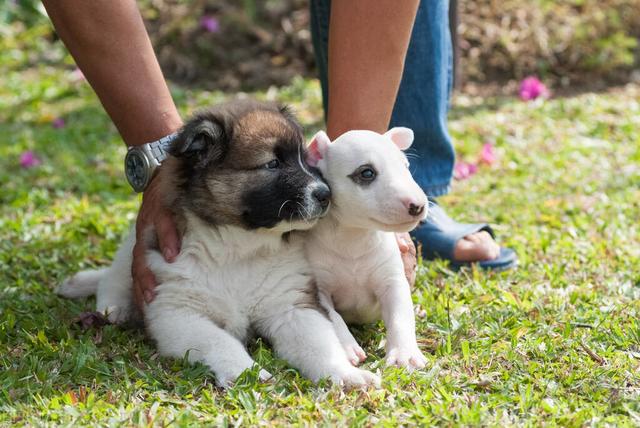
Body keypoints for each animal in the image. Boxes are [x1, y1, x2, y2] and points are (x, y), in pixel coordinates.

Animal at [306, 129, 428, 370]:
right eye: (367, 173)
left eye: (406, 167)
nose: (418, 206)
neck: (354, 237)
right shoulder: (318, 288)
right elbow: (333, 316)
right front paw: (347, 348)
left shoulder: (392, 281)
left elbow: (400, 316)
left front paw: (404, 354)